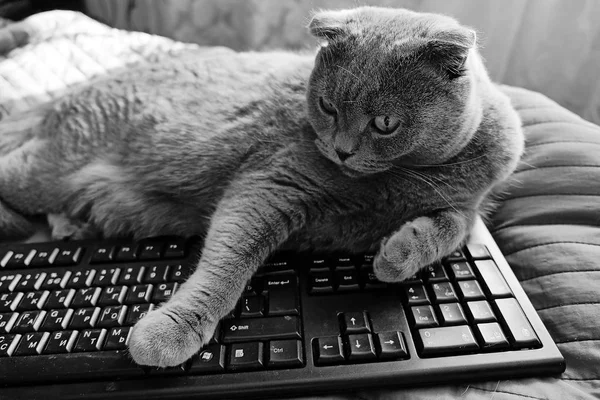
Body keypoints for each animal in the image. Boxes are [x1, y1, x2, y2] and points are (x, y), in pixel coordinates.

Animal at [0, 7, 524, 368]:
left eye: (385, 123)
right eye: (327, 106)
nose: (341, 150)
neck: (403, 177)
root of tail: (75, 89)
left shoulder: (470, 206)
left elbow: (453, 225)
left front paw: (395, 255)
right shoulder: (271, 183)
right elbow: (228, 263)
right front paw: (169, 334)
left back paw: (70, 225)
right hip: (44, 169)